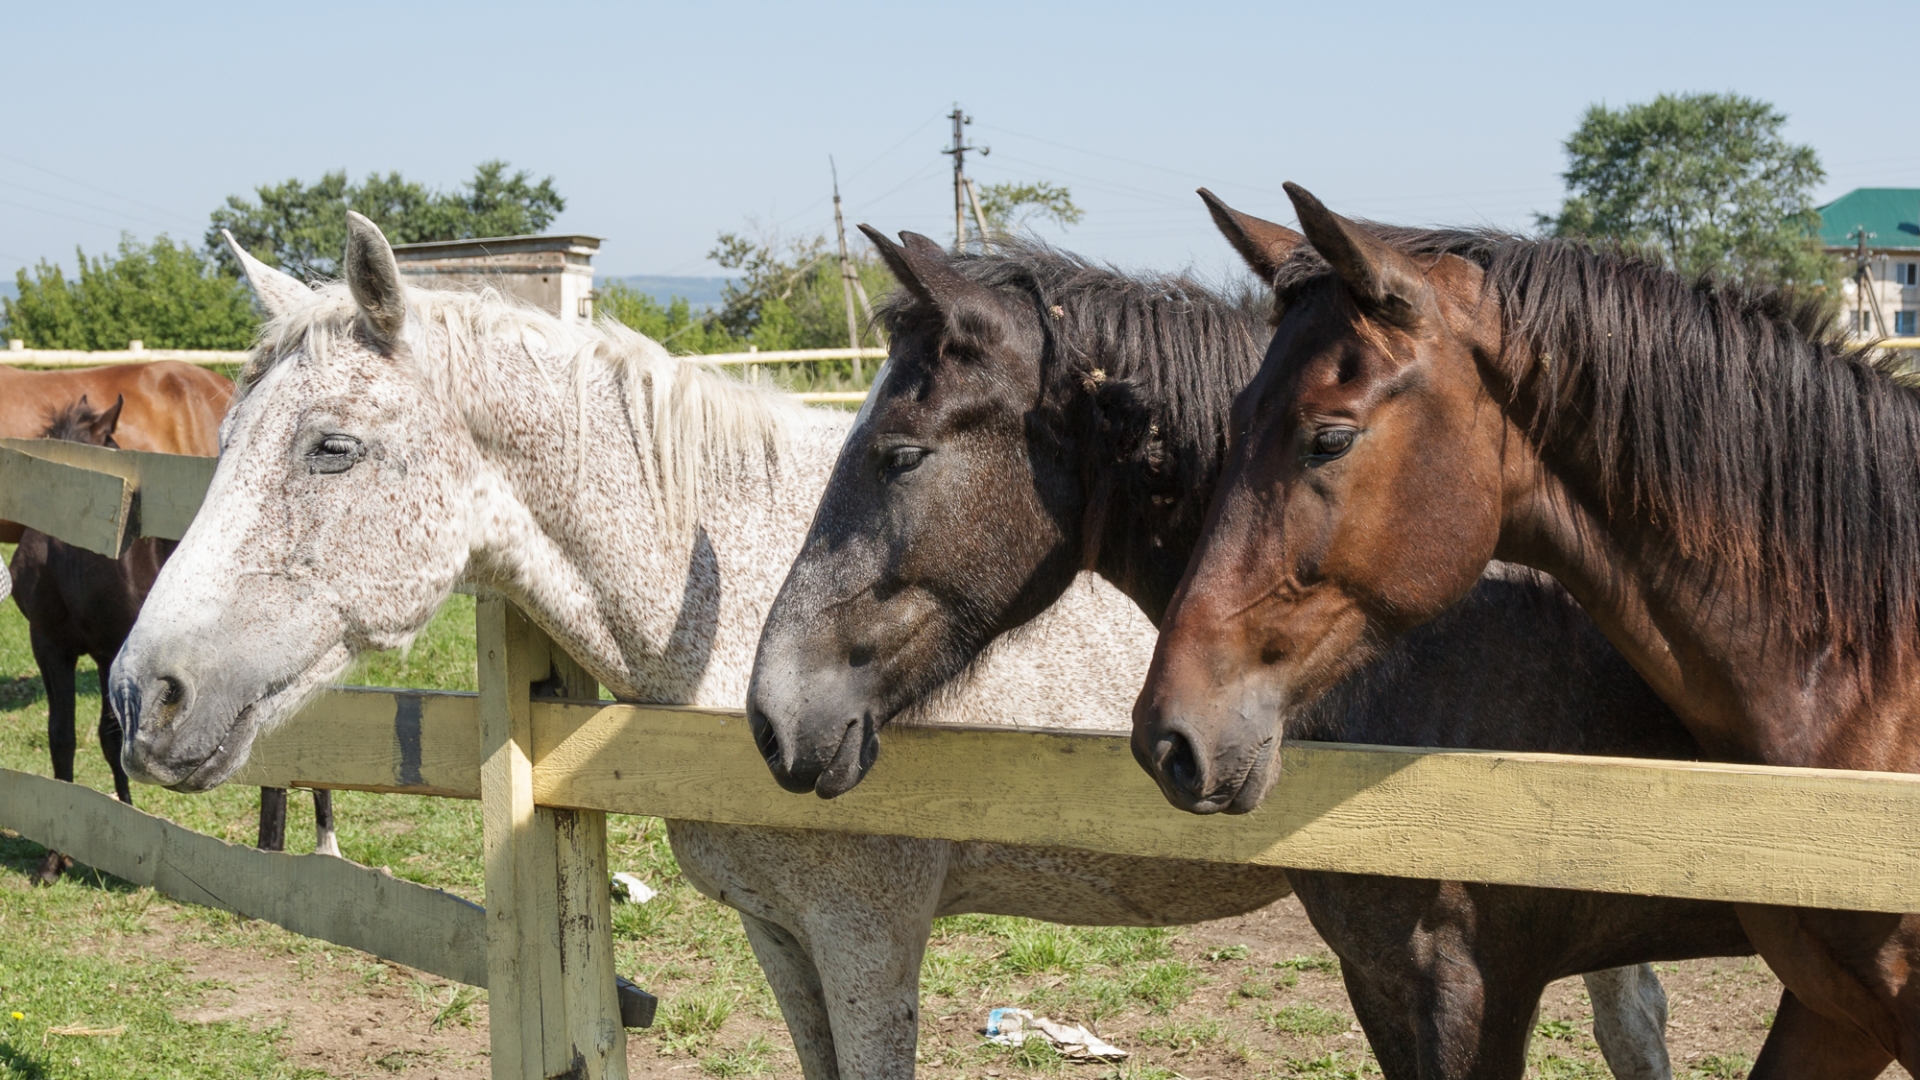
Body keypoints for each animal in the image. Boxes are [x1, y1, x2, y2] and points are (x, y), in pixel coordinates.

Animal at [1128, 180, 1920, 1068]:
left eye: (1329, 438)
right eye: (1232, 420)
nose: (1168, 738)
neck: (1866, 685)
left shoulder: (1474, 982)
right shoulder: (1835, 1007)